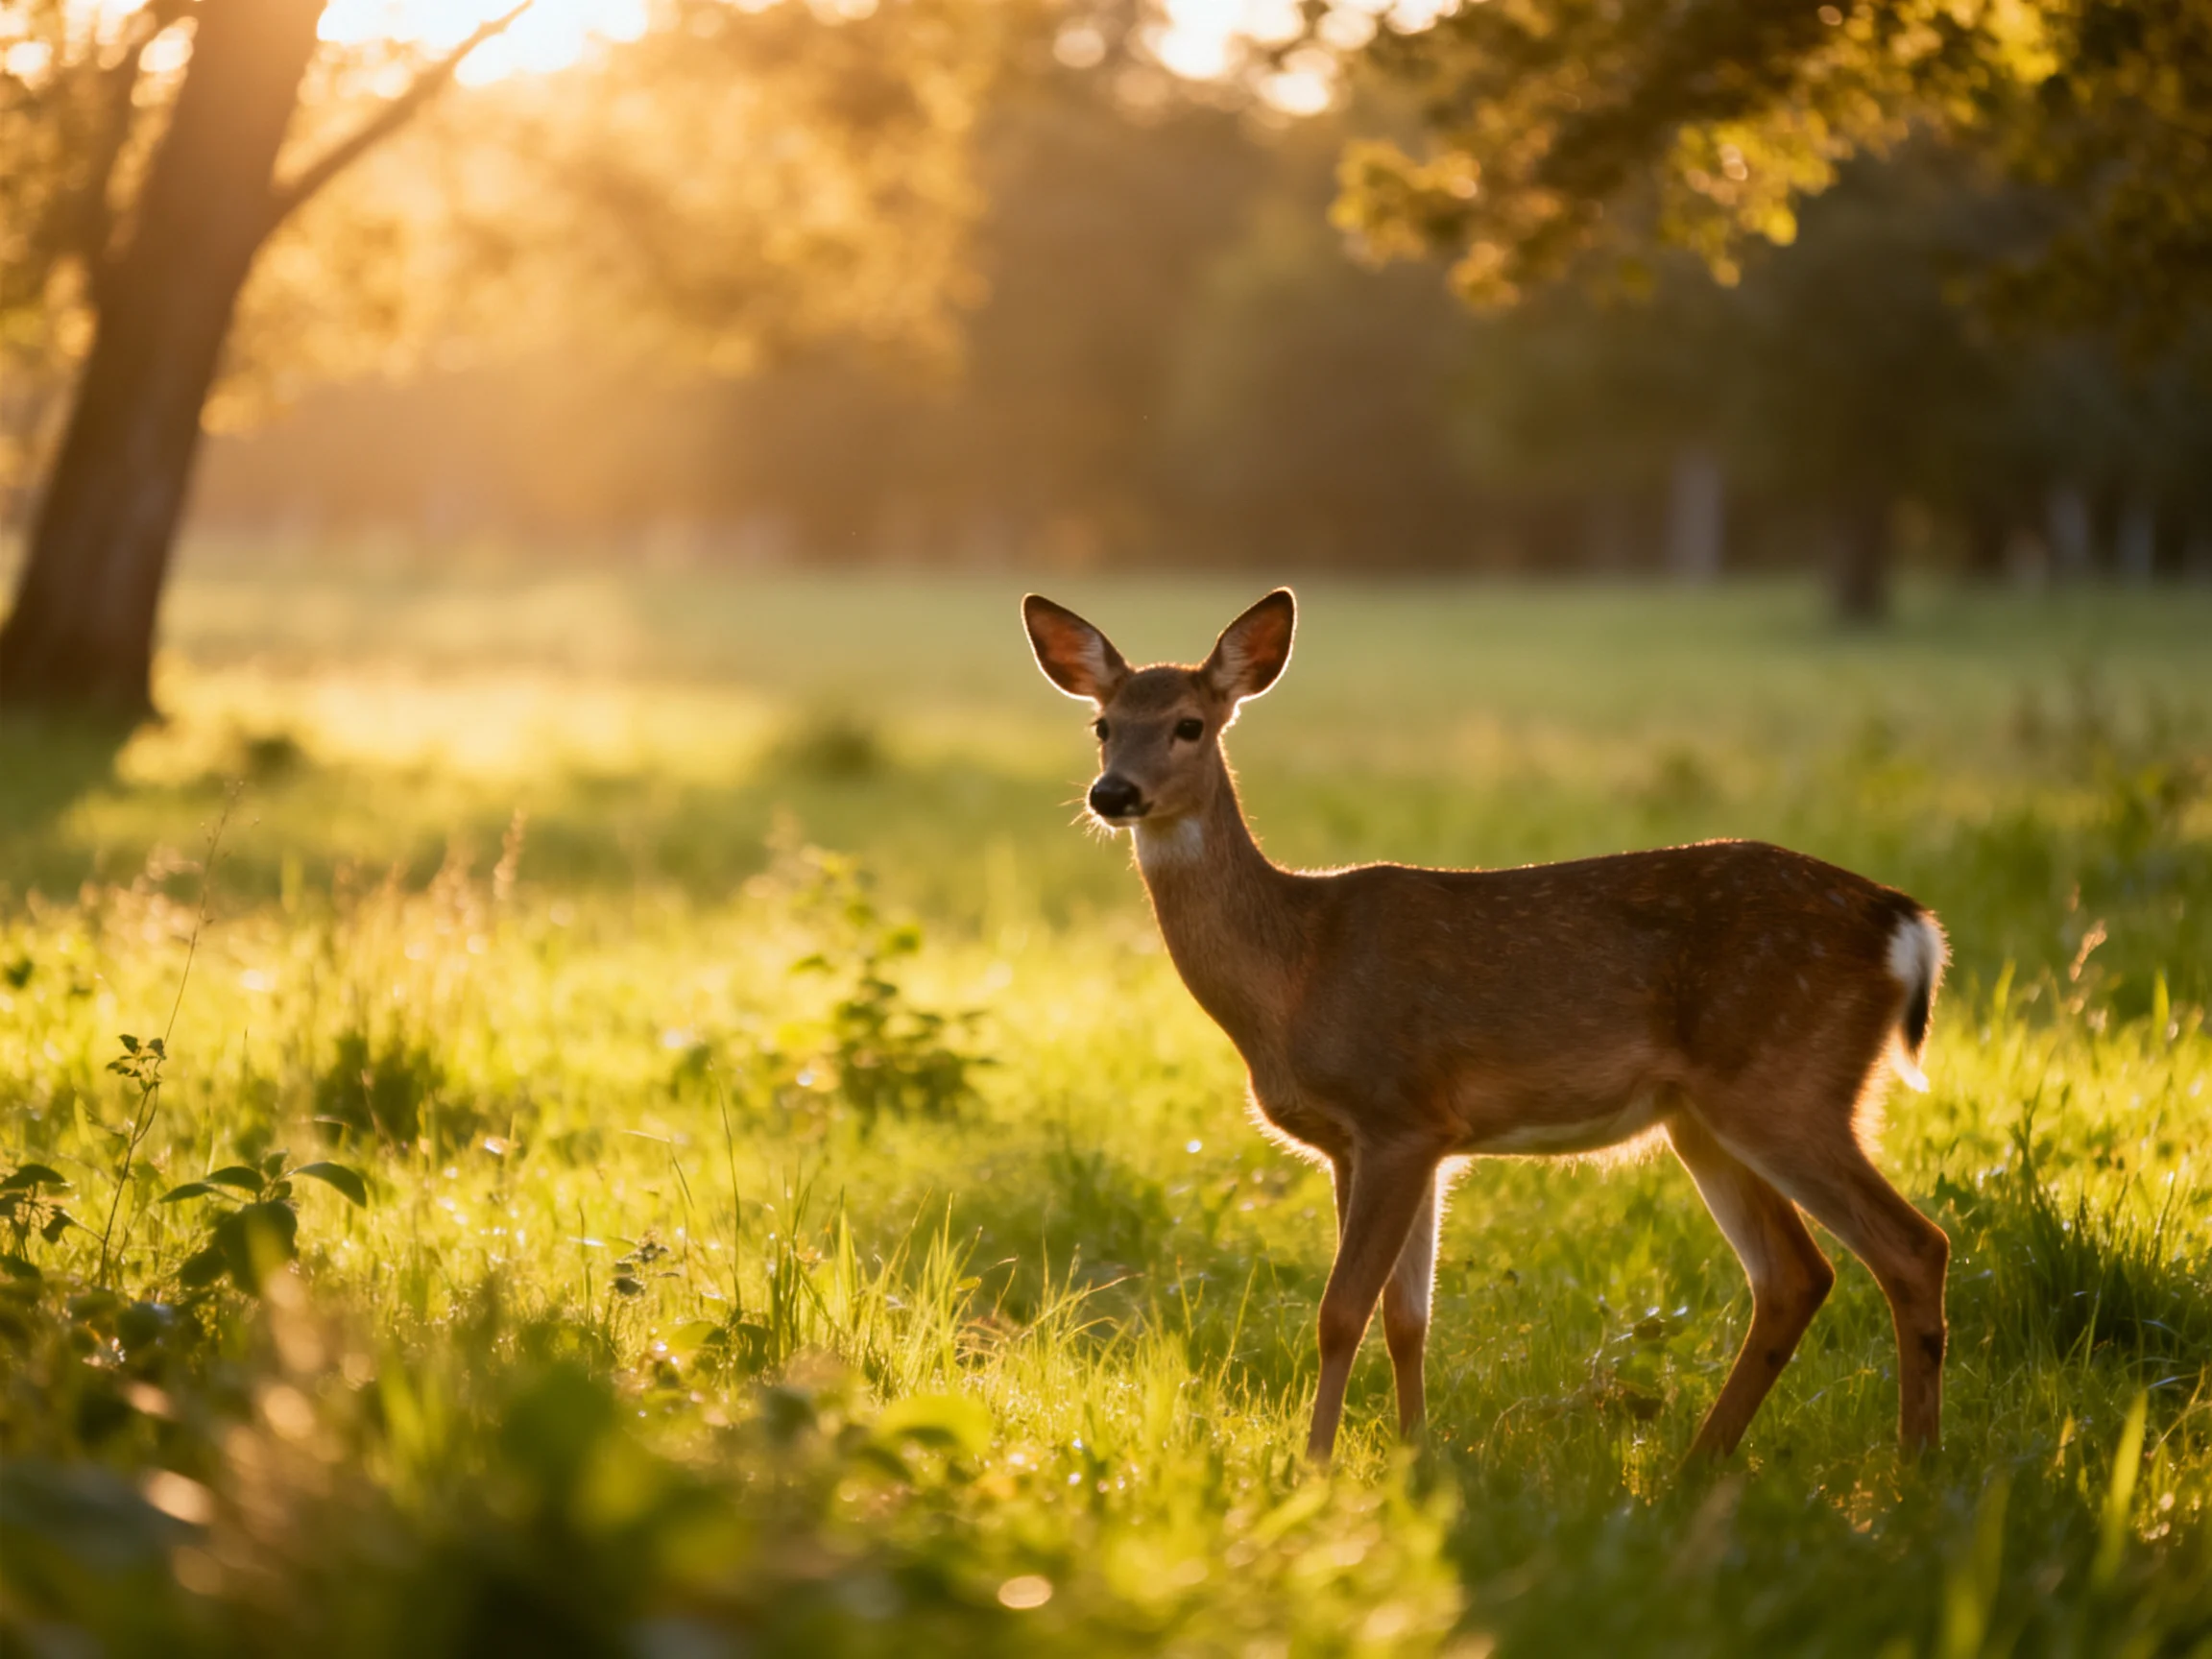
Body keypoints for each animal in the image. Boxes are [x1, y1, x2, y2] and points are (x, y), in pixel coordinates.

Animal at [1021, 587, 1951, 1467]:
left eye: (1189, 724)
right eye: (1103, 725)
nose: (1113, 793)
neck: (1295, 970)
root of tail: (1907, 925)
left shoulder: (1397, 1113)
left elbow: (1341, 1311)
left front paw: (1314, 1467)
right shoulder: (1379, 1142)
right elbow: (1407, 1317)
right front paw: (1412, 1454)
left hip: (1785, 1081)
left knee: (1913, 1246)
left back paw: (1913, 1467)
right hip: (1706, 1118)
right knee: (1796, 1274)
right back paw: (1700, 1466)